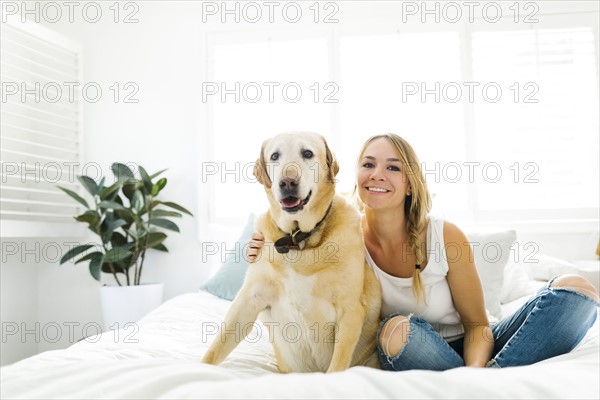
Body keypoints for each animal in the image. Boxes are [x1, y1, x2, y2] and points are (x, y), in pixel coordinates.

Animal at [200, 131, 380, 372]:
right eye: (275, 156)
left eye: (307, 153)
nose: (287, 182)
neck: (297, 239)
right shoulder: (249, 299)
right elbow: (216, 347)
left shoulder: (350, 309)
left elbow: (338, 365)